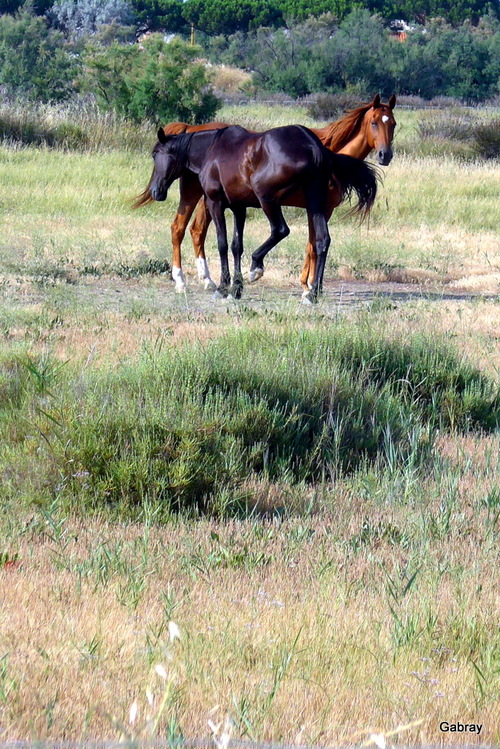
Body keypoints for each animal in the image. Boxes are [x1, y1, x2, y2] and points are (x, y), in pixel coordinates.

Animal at [135, 93, 396, 292]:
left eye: (392, 123)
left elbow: (313, 243)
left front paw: (309, 286)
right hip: (210, 197)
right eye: (374, 122)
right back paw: (190, 280)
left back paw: (211, 278)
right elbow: (309, 244)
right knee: (185, 229)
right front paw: (307, 286)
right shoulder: (317, 208)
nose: (385, 155)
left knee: (195, 229)